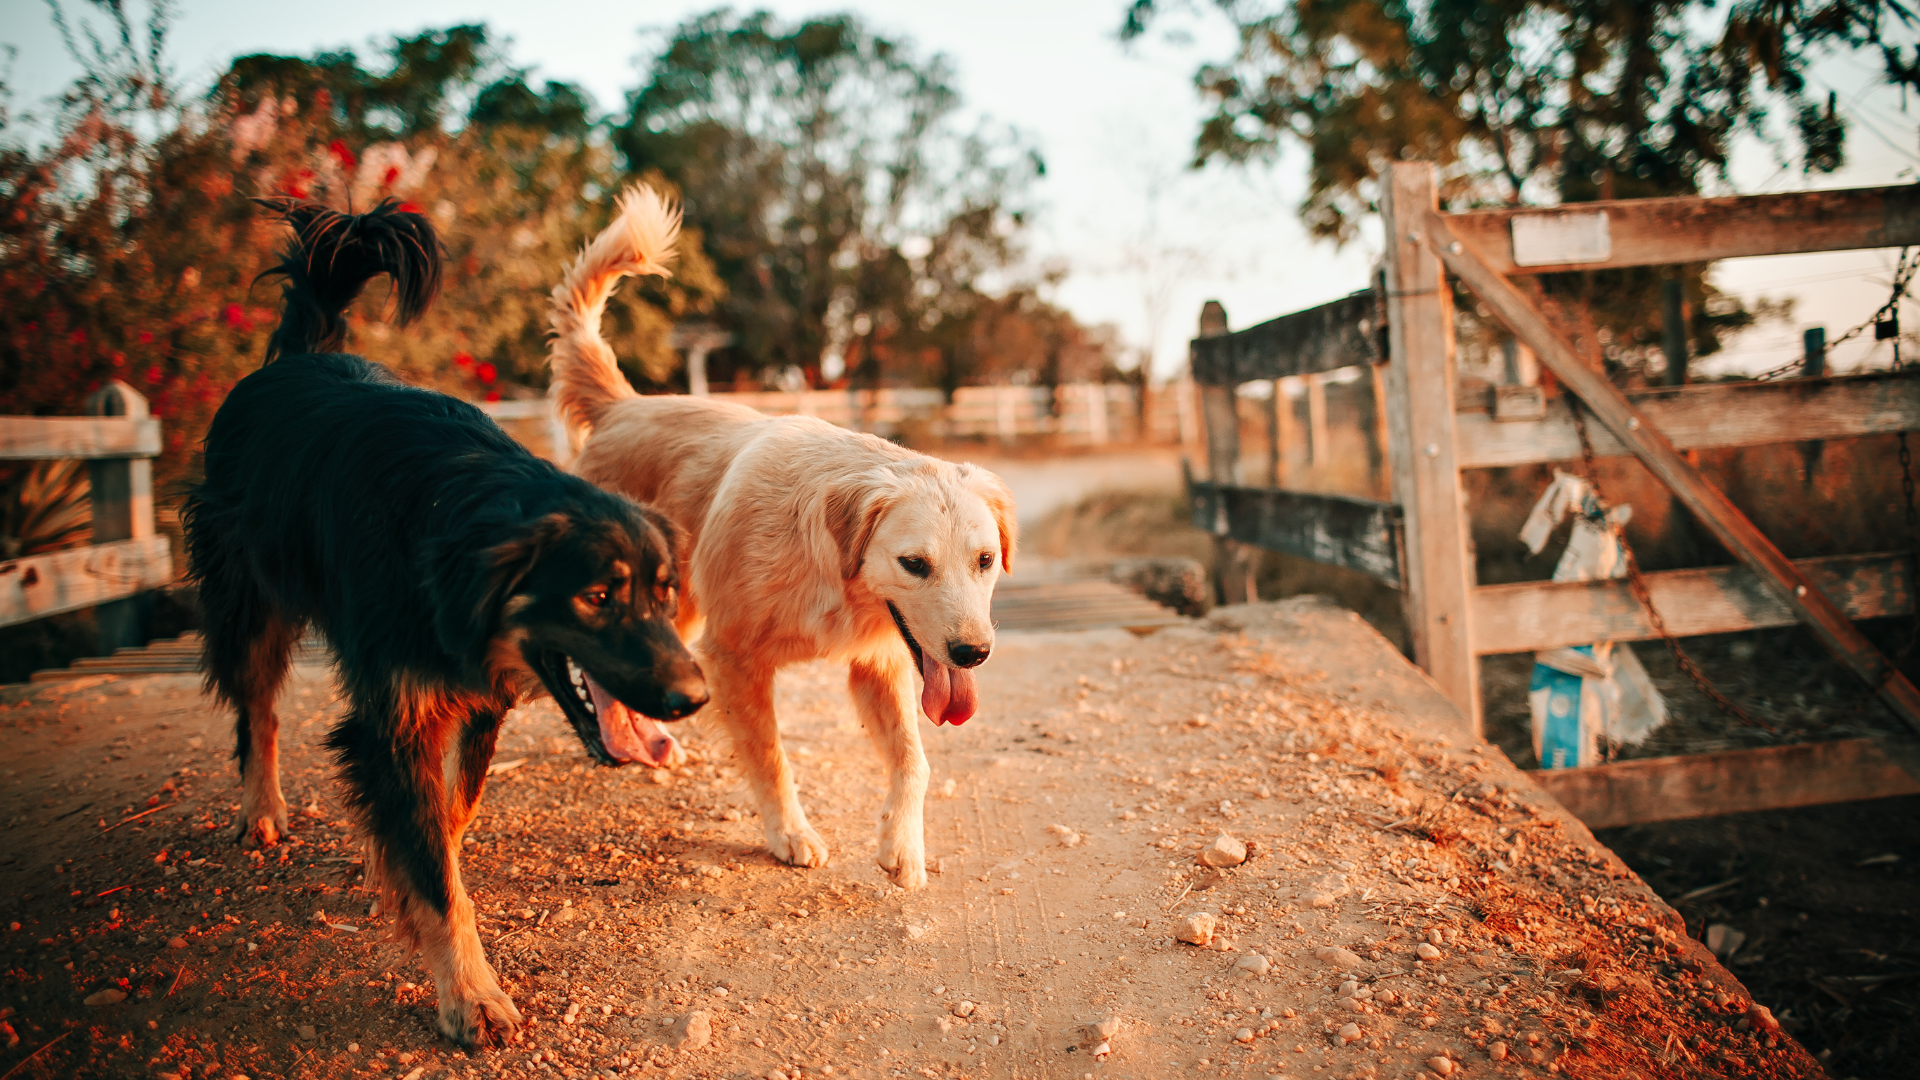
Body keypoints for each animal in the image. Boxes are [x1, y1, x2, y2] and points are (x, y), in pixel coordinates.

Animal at [178, 195, 706, 1045]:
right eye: (597, 597)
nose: (695, 699)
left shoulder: (478, 698)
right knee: (257, 710)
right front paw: (469, 993)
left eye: (664, 593)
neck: (453, 526)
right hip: (248, 602)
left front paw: (400, 868)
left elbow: (448, 820)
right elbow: (431, 867)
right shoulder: (394, 714)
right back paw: (261, 810)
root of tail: (296, 357)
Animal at [545, 184, 1021, 887]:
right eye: (914, 564)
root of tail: (622, 405)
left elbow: (915, 761)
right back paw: (623, 741)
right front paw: (789, 833)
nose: (973, 654)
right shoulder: (733, 658)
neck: (829, 573)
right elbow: (770, 756)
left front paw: (902, 845)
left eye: (985, 560)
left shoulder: (878, 663)